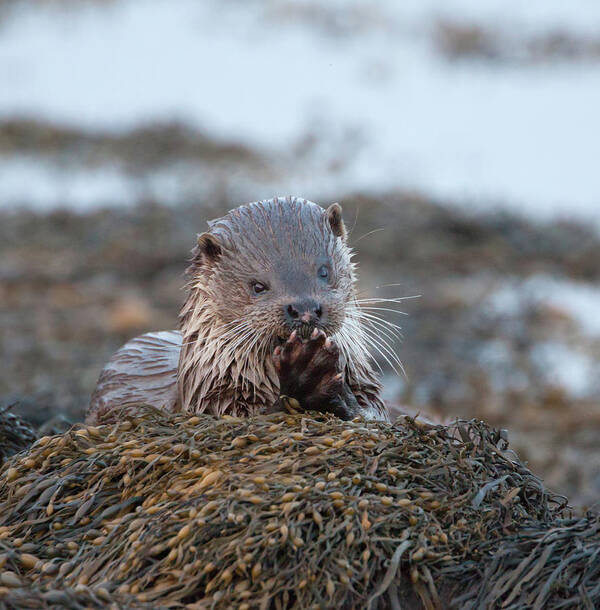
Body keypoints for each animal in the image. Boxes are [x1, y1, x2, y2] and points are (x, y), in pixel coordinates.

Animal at [88, 197, 390, 420]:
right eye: (257, 286)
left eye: (324, 271)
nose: (304, 308)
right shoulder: (214, 402)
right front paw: (308, 372)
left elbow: (374, 415)